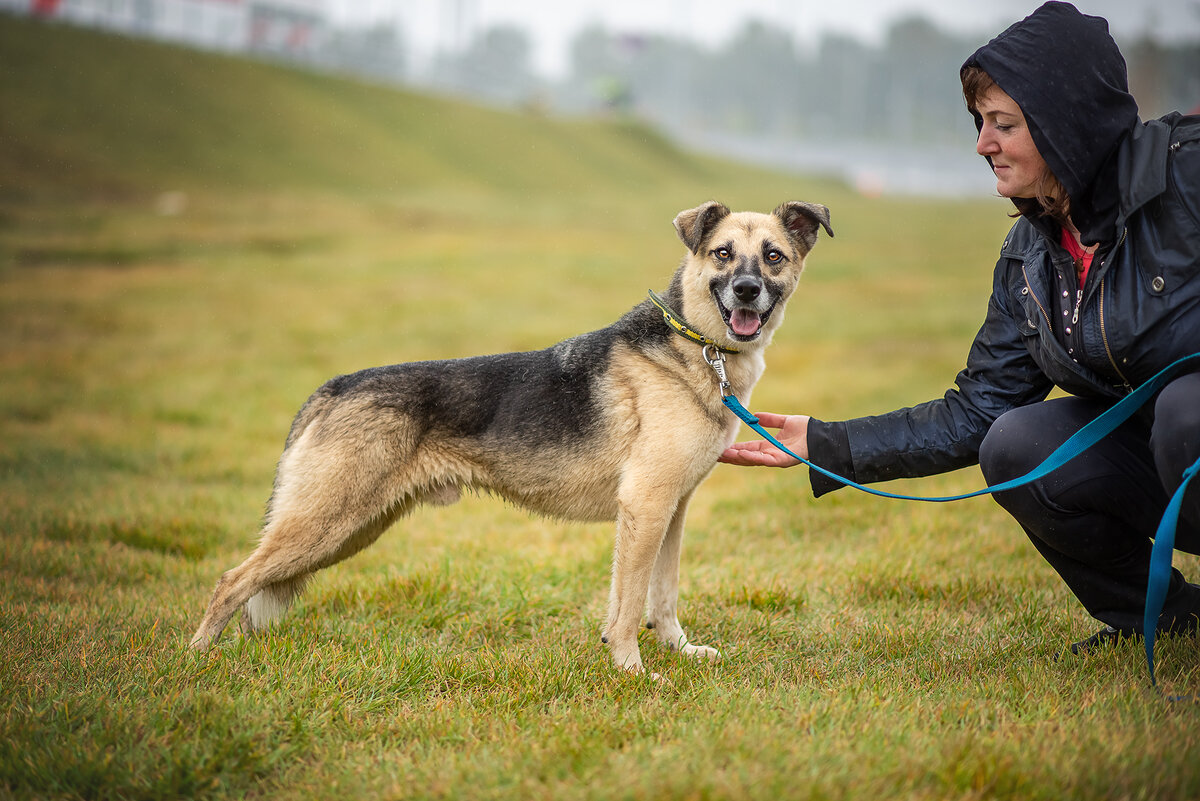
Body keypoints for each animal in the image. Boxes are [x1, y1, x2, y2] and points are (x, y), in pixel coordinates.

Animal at [192, 199, 835, 671]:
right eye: (723, 254)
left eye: (773, 257)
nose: (747, 291)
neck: (695, 348)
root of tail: (332, 388)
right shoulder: (646, 506)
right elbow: (629, 605)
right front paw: (632, 670)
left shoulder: (669, 511)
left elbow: (660, 594)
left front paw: (678, 651)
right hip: (327, 521)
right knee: (232, 581)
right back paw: (196, 661)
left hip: (352, 528)